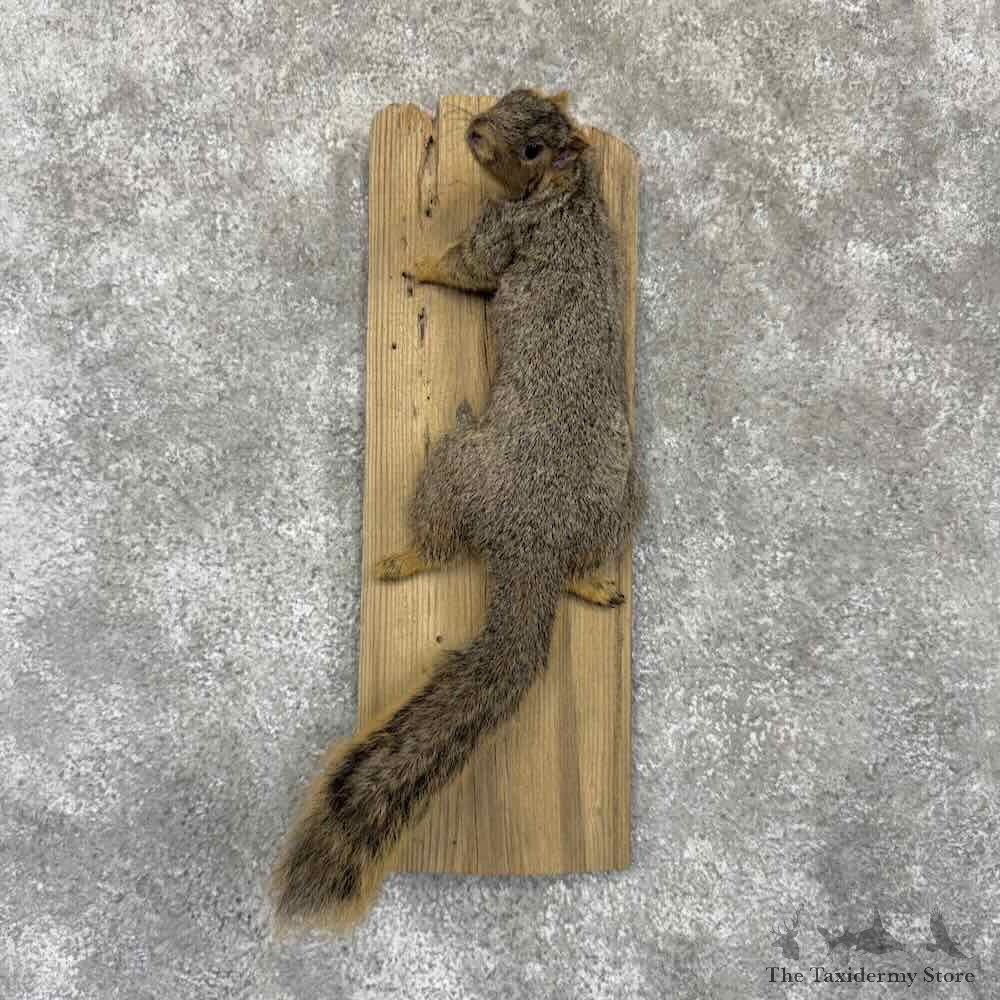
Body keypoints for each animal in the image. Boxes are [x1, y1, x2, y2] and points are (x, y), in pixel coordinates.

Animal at [270, 88, 645, 932]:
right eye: (512, 95)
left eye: (532, 149)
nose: (471, 130)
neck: (573, 195)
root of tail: (532, 537)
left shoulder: (503, 234)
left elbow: (467, 267)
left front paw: (417, 259)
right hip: (619, 494)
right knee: (582, 562)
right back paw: (592, 583)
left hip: (452, 467)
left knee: (440, 542)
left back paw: (401, 557)